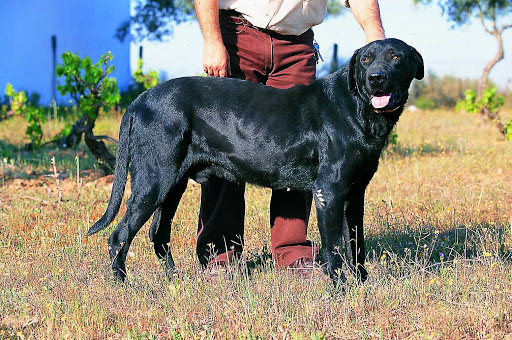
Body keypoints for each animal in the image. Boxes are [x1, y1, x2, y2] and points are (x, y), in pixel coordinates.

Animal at [88, 37, 424, 284]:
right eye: (366, 59)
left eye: (395, 57)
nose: (375, 78)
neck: (357, 108)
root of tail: (140, 99)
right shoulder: (329, 190)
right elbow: (334, 248)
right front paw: (341, 290)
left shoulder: (354, 194)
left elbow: (356, 243)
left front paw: (363, 284)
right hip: (154, 181)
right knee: (119, 235)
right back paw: (124, 286)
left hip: (172, 185)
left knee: (158, 234)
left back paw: (176, 281)